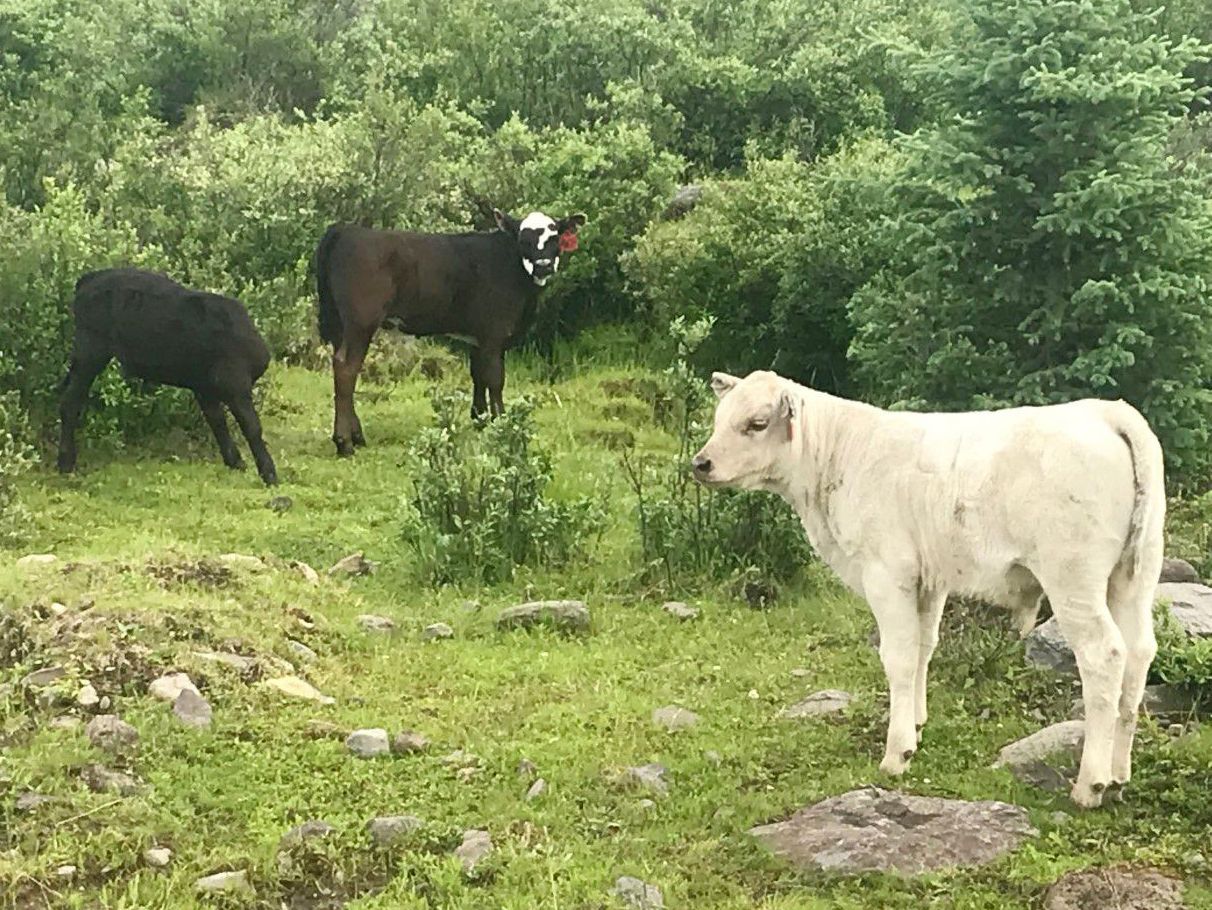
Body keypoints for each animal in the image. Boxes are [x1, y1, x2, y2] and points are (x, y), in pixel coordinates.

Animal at [57, 268, 278, 485]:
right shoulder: (235, 384)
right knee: (70, 400)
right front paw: (269, 474)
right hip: (91, 349)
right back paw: (66, 463)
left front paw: (236, 463)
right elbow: (252, 426)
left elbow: (217, 422)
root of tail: (89, 278)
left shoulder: (204, 387)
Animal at [314, 208, 587, 456]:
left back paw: (356, 436)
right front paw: (500, 421)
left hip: (341, 325)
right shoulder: (494, 333)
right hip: (360, 322)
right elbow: (495, 379)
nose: (543, 266)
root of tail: (348, 230)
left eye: (555, 238)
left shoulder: (478, 335)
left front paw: (480, 418)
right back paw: (345, 443)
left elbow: (478, 374)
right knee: (346, 368)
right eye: (524, 240)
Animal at [692, 370, 1165, 809]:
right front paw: (916, 724)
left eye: (756, 423)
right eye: (719, 418)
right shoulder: (929, 580)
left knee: (1105, 655)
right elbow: (924, 646)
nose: (701, 463)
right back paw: (1118, 776)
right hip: (1135, 575)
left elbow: (898, 656)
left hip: (1073, 578)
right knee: (1139, 653)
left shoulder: (887, 572)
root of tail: (1105, 412)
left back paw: (1091, 784)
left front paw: (896, 753)